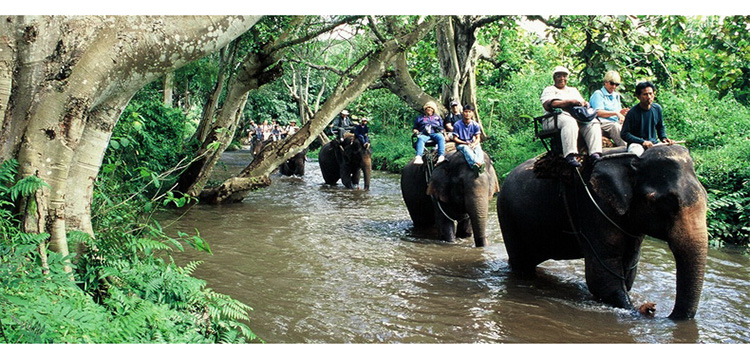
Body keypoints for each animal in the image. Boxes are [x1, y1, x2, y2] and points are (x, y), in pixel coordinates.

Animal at [500, 146, 712, 322]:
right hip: (508, 217)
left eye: (706, 196)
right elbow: (603, 277)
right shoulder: (594, 206)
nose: (653, 309)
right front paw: (636, 309)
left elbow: (627, 273)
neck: (634, 159)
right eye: (661, 202)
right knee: (522, 264)